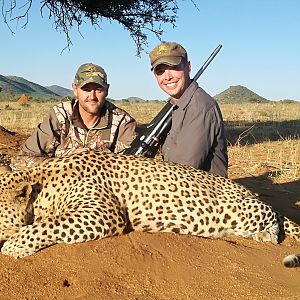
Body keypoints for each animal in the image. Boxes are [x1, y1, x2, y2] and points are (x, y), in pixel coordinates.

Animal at [0, 150, 298, 268]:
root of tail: (249, 191)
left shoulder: (103, 213)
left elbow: (47, 225)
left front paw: (14, 246)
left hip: (242, 208)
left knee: (273, 214)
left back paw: (267, 234)